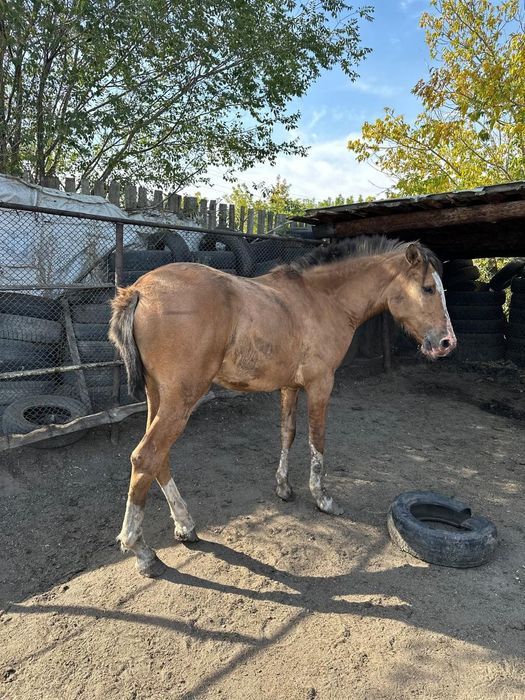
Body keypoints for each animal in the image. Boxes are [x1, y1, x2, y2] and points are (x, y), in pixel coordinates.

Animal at [109, 235, 456, 577]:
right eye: (428, 288)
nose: (447, 343)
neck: (322, 299)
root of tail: (138, 290)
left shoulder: (289, 387)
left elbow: (288, 433)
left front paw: (284, 487)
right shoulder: (320, 384)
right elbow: (317, 440)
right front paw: (323, 499)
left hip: (159, 397)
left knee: (158, 459)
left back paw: (185, 525)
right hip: (181, 399)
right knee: (145, 457)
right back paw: (141, 551)